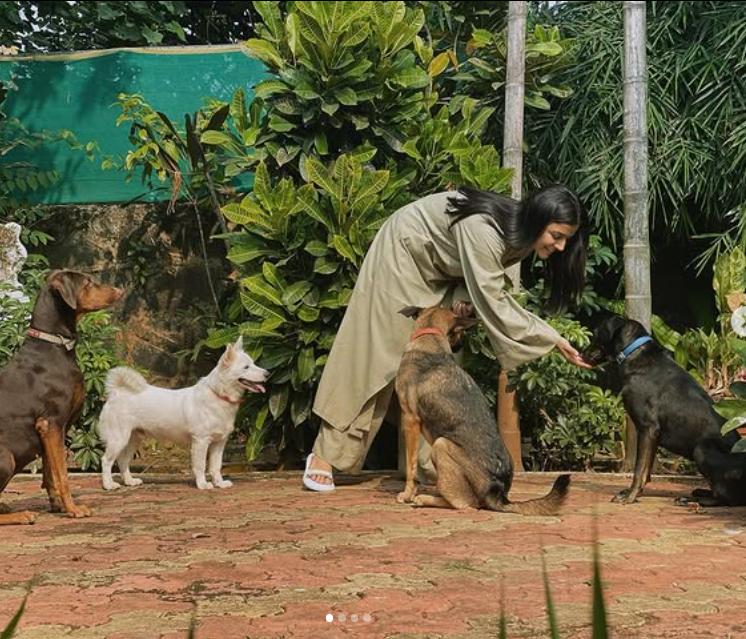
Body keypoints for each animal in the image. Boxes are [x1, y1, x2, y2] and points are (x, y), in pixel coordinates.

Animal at [0, 270, 122, 524]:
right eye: (87, 282)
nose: (119, 290)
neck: (54, 344)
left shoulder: (53, 430)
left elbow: (49, 473)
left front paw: (58, 505)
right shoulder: (51, 423)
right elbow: (62, 475)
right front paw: (73, 509)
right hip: (6, 457)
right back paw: (22, 514)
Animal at [98, 338, 268, 492]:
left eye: (253, 363)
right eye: (246, 367)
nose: (268, 373)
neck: (218, 395)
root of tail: (117, 391)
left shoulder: (219, 443)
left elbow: (216, 466)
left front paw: (219, 483)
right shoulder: (201, 441)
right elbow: (200, 466)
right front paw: (203, 484)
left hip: (133, 439)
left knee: (122, 461)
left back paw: (129, 481)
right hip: (118, 439)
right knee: (106, 460)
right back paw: (108, 485)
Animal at [396, 306, 568, 516]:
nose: (460, 346)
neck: (430, 336)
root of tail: (497, 493)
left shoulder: (410, 419)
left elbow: (410, 467)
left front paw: (407, 494)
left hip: (440, 445)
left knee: (465, 504)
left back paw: (424, 498)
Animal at [580, 314, 744, 504]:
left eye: (596, 332)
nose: (580, 354)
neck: (634, 353)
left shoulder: (647, 428)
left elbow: (639, 470)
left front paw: (630, 496)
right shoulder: (653, 435)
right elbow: (646, 470)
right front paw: (635, 493)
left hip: (702, 449)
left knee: (727, 497)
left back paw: (691, 500)